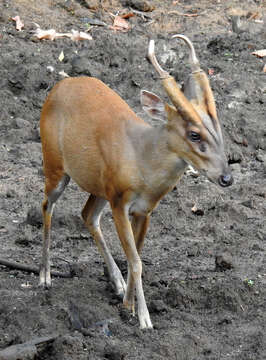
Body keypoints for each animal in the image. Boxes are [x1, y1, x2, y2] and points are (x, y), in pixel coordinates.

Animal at [39, 35, 233, 330]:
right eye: (194, 134)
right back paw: (45, 277)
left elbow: (136, 256)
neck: (143, 161)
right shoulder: (120, 201)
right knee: (47, 206)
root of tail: (58, 88)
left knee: (87, 215)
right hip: (55, 165)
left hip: (100, 187)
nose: (226, 177)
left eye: (217, 130)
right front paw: (144, 319)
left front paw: (127, 305)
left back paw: (116, 282)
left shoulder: (144, 210)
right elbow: (137, 261)